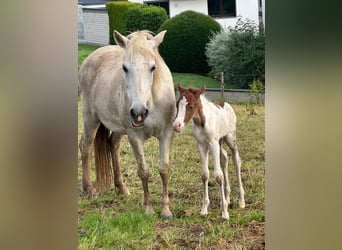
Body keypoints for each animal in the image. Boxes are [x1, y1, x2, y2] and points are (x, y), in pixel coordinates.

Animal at [78, 30, 176, 219]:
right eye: (124, 68)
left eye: (153, 67)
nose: (138, 113)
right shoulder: (134, 136)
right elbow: (143, 171)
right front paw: (149, 208)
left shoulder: (166, 134)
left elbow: (164, 169)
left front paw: (166, 210)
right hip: (91, 118)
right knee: (85, 146)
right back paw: (89, 189)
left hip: (118, 128)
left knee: (113, 146)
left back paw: (121, 188)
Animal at [172, 85, 244, 220]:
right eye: (177, 104)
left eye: (191, 106)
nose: (176, 125)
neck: (201, 122)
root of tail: (225, 103)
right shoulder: (201, 145)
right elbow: (205, 175)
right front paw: (204, 209)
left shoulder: (213, 144)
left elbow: (218, 176)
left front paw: (224, 213)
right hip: (220, 141)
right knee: (224, 158)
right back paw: (227, 198)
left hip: (229, 138)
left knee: (236, 160)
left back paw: (241, 201)